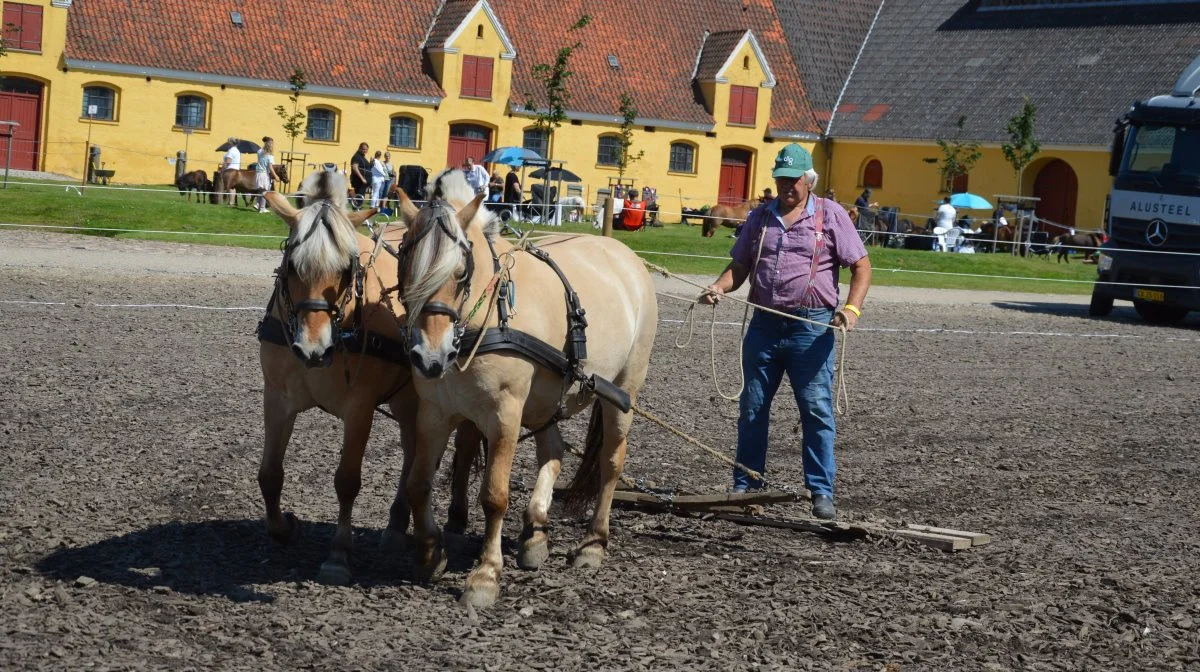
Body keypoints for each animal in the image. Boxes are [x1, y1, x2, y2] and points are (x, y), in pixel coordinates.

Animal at [258, 170, 477, 585]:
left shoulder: (359, 408)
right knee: (413, 450)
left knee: (449, 450)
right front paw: (282, 528)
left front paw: (338, 555)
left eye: (347, 269)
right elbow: (270, 474)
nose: (313, 349)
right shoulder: (277, 399)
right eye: (292, 266)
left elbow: (347, 480)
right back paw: (396, 525)